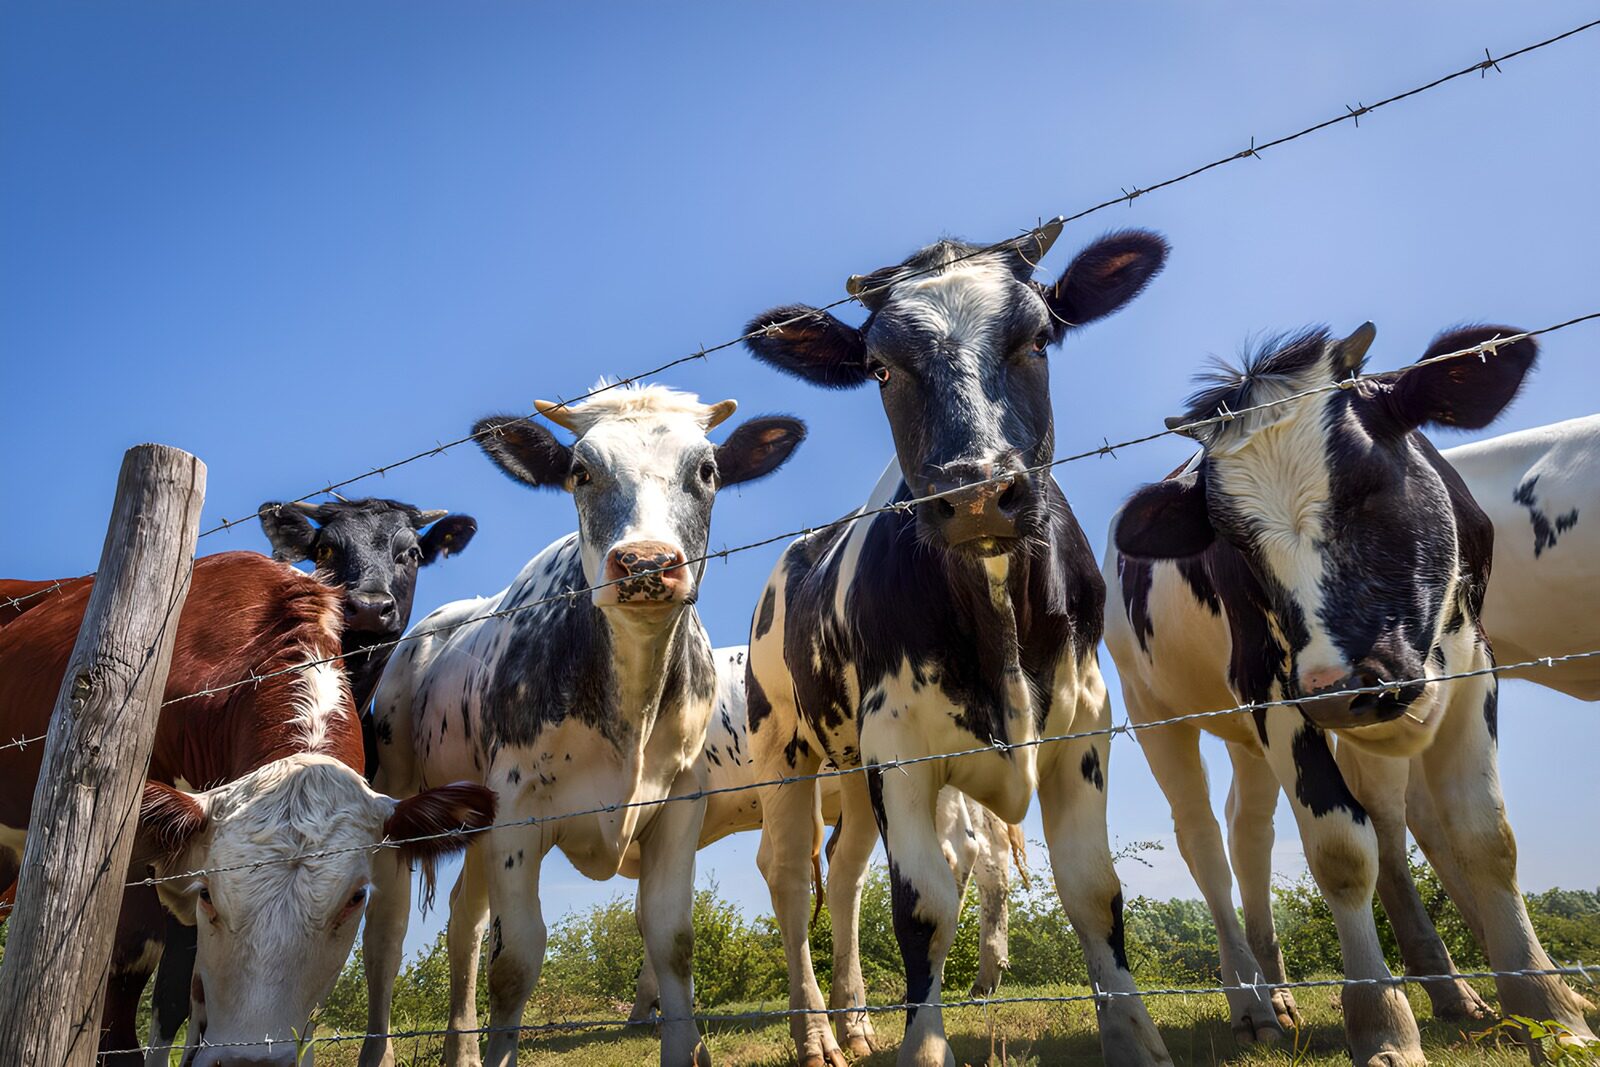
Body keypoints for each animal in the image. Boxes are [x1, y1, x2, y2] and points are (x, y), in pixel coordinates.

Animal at [359, 385, 806, 1067]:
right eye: (580, 471)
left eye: (707, 470)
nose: (646, 562)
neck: (629, 705)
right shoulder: (517, 809)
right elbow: (516, 961)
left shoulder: (680, 802)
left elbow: (671, 941)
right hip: (399, 796)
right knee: (386, 934)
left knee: (464, 922)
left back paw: (460, 1051)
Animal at [623, 646, 1026, 1023]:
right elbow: (649, 912)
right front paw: (652, 1003)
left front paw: (648, 1005)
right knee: (989, 857)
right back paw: (986, 976)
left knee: (958, 849)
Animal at [740, 223, 1172, 1067]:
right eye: (879, 367)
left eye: (1039, 337)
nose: (974, 493)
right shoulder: (898, 745)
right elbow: (924, 908)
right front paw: (923, 1046)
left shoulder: (1083, 722)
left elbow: (1093, 889)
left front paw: (1138, 1040)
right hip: (786, 744)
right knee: (789, 875)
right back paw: (817, 1034)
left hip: (852, 768)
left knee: (843, 871)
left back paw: (855, 1021)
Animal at [1106, 322, 1596, 1065]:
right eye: (1232, 538)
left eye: (1369, 483)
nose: (1340, 688)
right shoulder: (1276, 692)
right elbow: (1341, 849)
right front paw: (1383, 1022)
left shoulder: (1471, 663)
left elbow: (1485, 835)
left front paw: (1551, 1011)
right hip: (1156, 709)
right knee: (1205, 840)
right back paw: (1252, 1003)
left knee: (1268, 829)